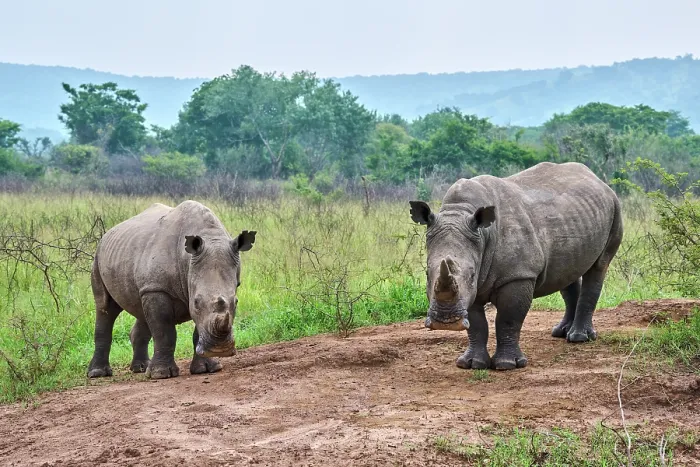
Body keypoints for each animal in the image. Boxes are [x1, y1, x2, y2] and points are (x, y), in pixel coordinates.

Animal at [87, 200, 256, 379]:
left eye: (236, 302)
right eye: (196, 302)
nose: (220, 349)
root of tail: (107, 234)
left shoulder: (162, 286)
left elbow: (197, 329)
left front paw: (207, 368)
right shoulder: (157, 288)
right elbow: (164, 331)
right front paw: (161, 374)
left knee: (140, 308)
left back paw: (141, 368)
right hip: (99, 257)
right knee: (105, 307)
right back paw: (98, 373)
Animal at [409, 162, 623, 370]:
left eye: (471, 275)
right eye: (427, 274)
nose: (445, 322)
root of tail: (598, 179)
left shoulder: (518, 275)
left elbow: (508, 319)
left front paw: (507, 365)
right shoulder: (471, 289)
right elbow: (477, 324)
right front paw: (471, 364)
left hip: (615, 207)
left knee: (599, 267)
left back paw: (579, 338)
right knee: (567, 271)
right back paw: (561, 332)